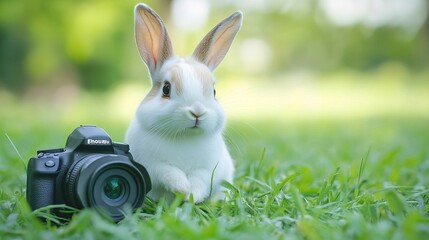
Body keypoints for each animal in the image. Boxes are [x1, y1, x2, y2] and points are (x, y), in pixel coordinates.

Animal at [125, 2, 242, 203]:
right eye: (166, 89)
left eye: (214, 91)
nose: (197, 112)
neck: (184, 136)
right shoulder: (153, 165)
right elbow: (169, 173)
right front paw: (183, 188)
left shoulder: (208, 168)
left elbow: (200, 179)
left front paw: (192, 195)